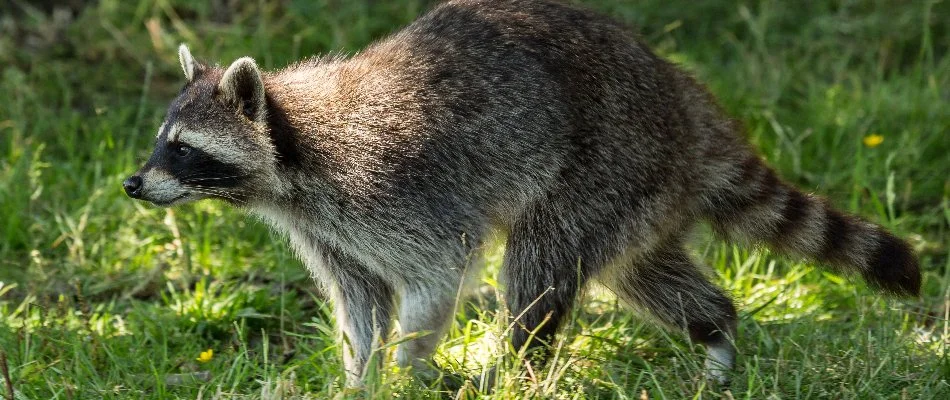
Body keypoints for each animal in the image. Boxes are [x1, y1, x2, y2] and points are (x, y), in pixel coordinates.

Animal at [124, 0, 924, 388]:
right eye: (162, 139)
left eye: (182, 148)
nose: (133, 183)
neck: (286, 161)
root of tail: (683, 98)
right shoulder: (327, 229)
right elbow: (362, 303)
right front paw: (360, 377)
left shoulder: (389, 188)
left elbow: (435, 274)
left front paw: (409, 367)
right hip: (638, 194)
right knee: (645, 272)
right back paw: (716, 332)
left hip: (605, 162)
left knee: (538, 264)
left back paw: (516, 362)